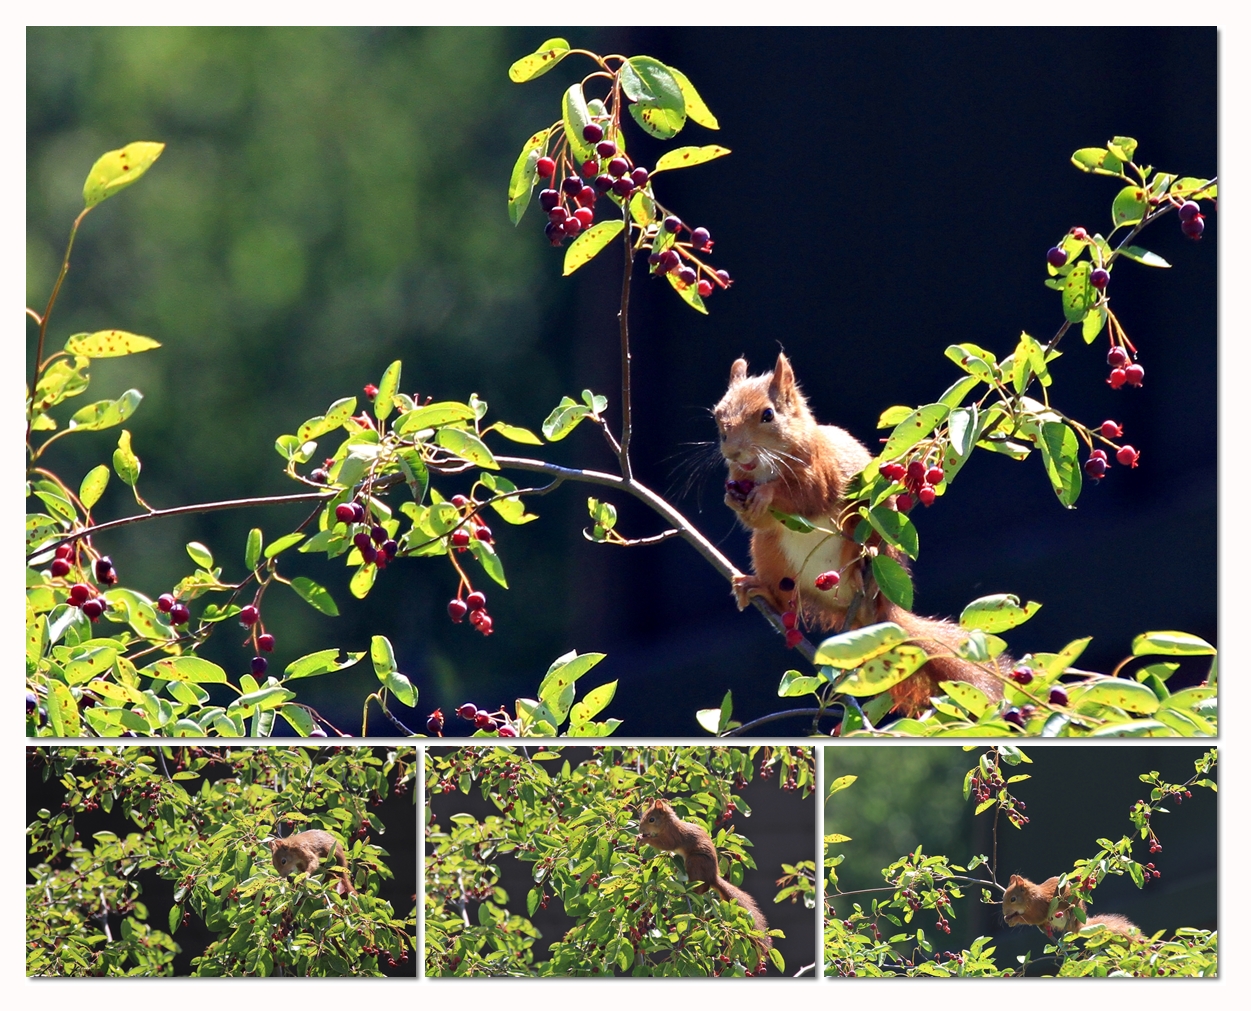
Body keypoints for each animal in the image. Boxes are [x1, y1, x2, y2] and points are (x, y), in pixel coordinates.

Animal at [640, 795, 765, 945]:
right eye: (643, 816)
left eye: (651, 819)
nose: (640, 830)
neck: (667, 824)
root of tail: (713, 876)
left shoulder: (673, 837)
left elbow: (665, 844)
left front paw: (645, 840)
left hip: (694, 862)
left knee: (704, 887)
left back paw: (690, 892)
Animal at [715, 350, 1005, 715]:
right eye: (718, 416)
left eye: (768, 414)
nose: (733, 452)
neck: (765, 467)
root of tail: (871, 611)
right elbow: (758, 520)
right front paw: (732, 499)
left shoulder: (820, 472)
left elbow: (805, 495)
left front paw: (767, 494)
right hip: (769, 553)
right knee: (779, 590)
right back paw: (759, 589)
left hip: (863, 538)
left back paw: (862, 571)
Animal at [995, 870, 1145, 940]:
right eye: (1004, 897)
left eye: (1013, 899)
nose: (1004, 913)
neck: (1030, 898)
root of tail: (1079, 926)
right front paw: (1008, 918)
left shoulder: (1039, 907)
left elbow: (1033, 919)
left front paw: (1013, 919)